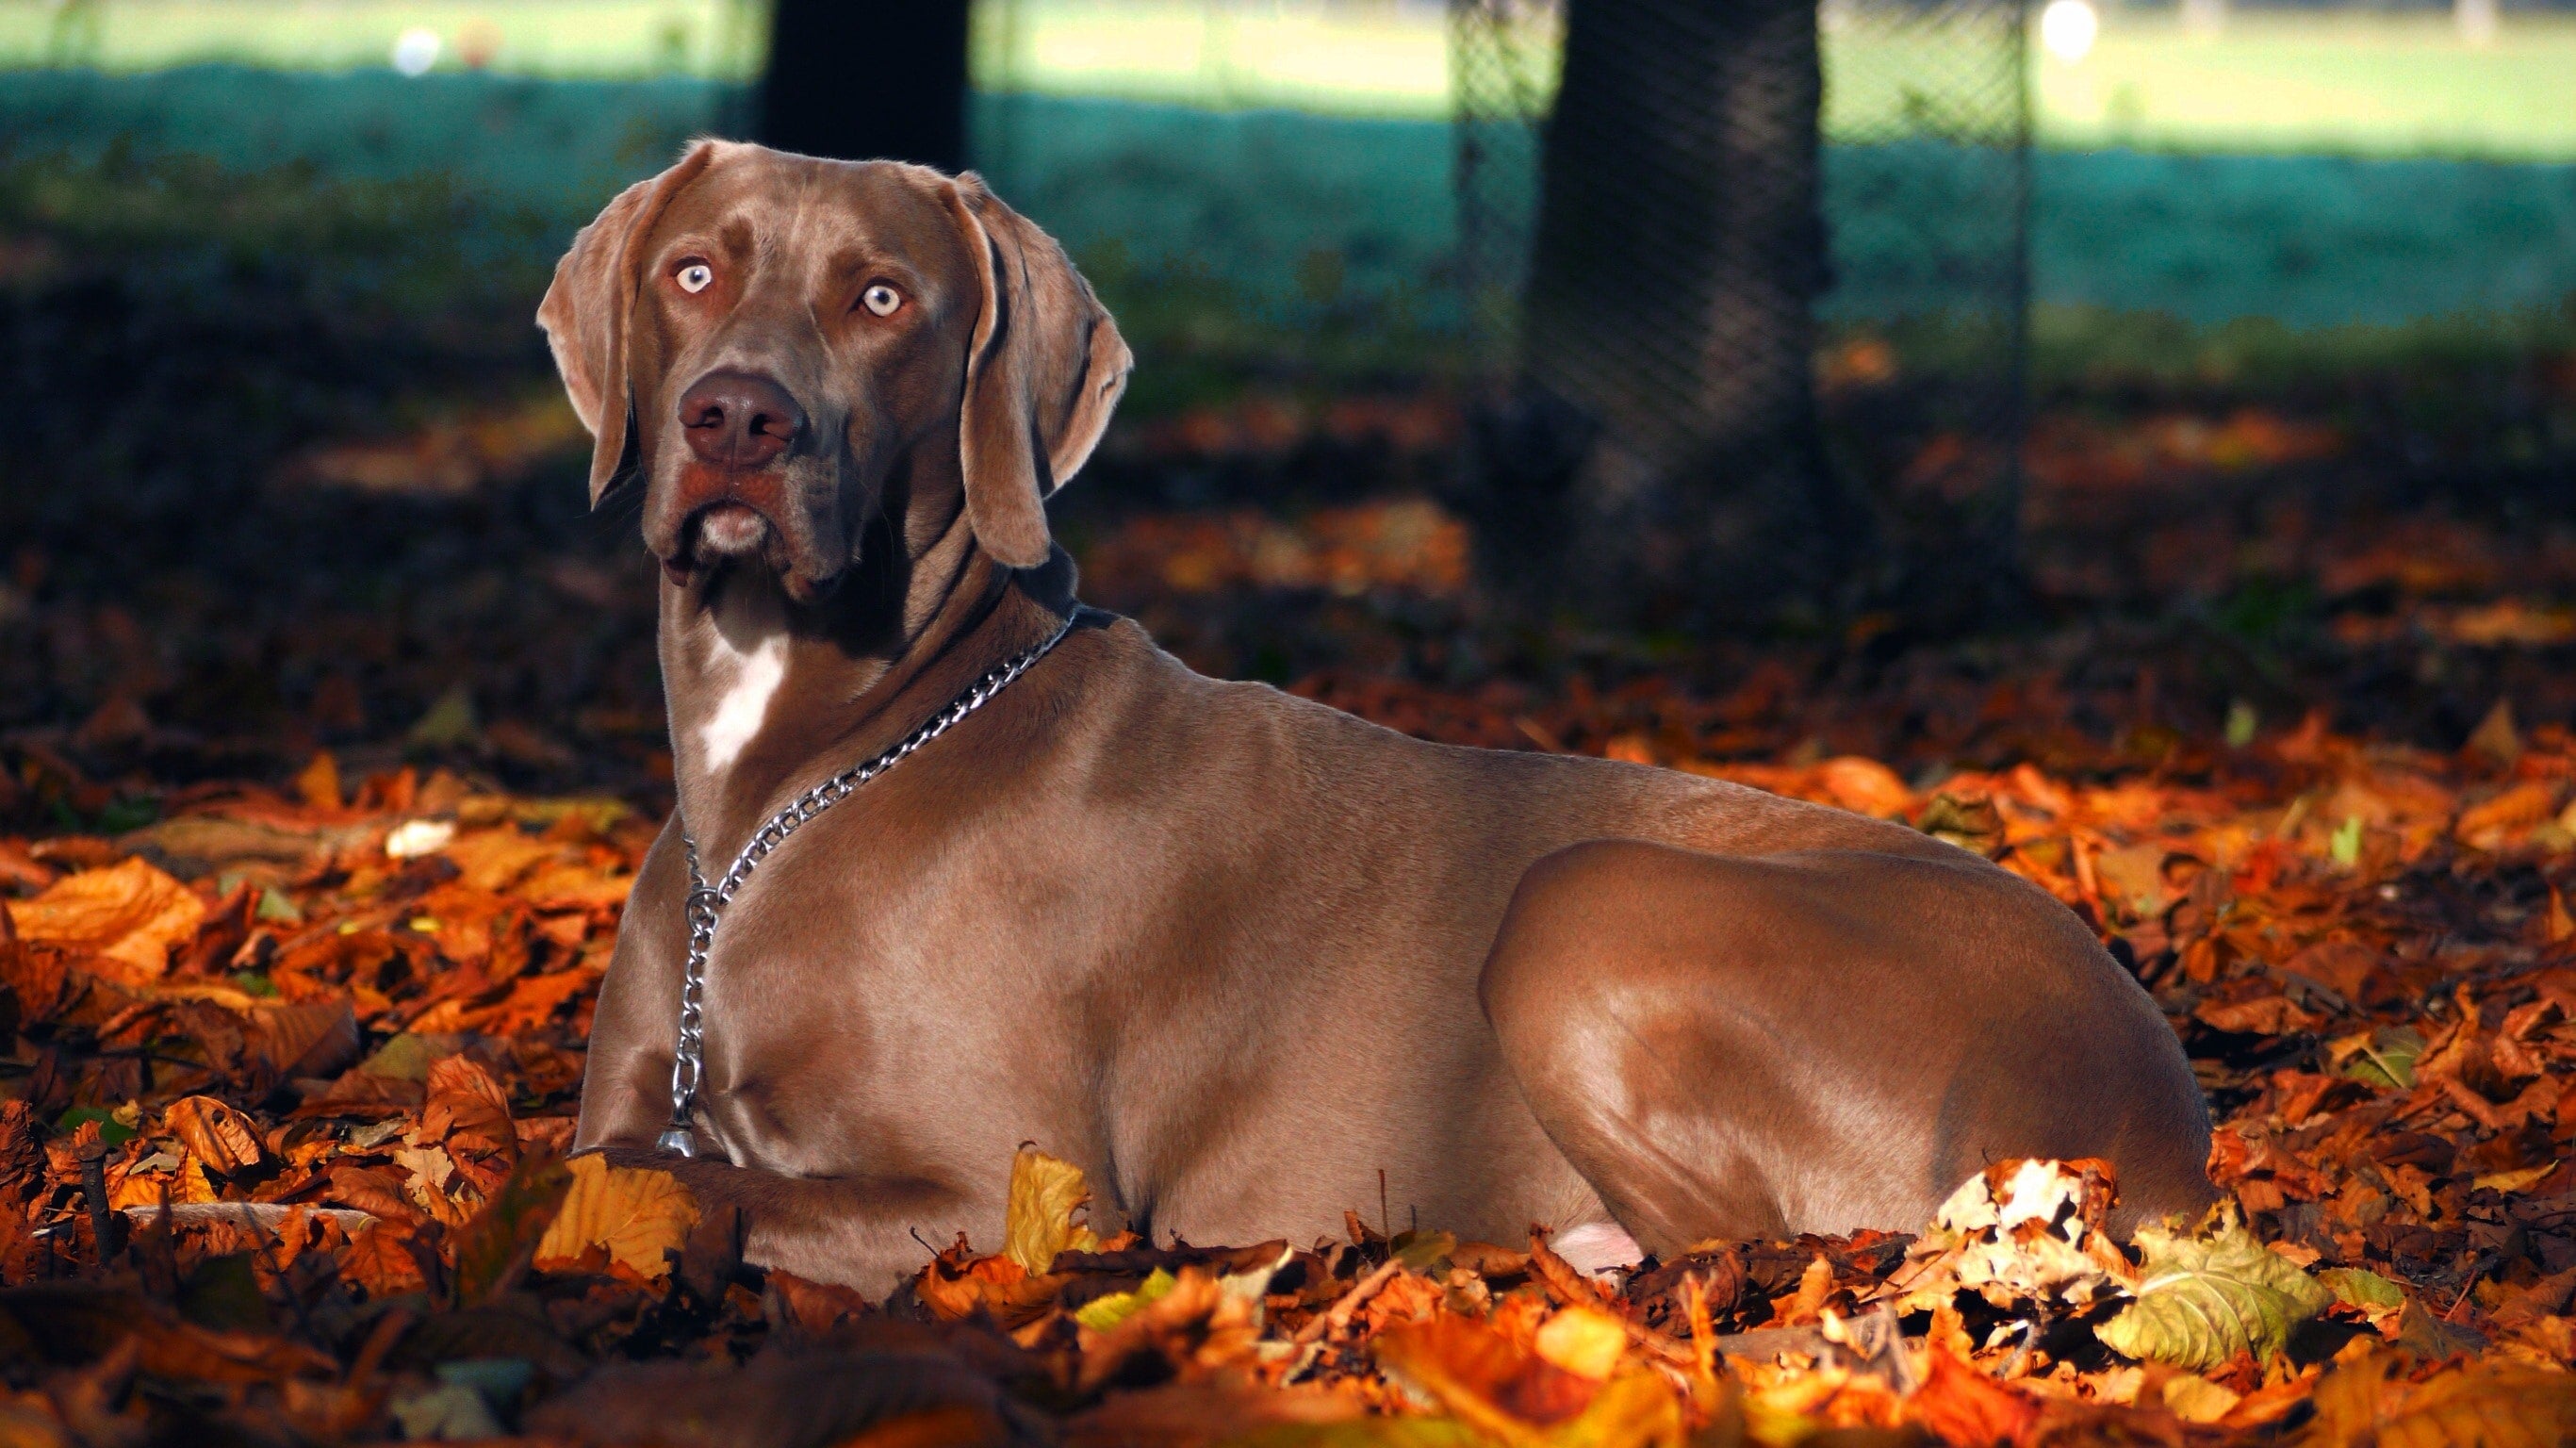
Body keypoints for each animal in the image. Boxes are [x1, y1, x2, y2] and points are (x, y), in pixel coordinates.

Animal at [549, 138, 2215, 1283]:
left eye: (884, 298)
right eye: (693, 271)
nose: (737, 418)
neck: (797, 780)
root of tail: (2168, 1130)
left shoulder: (1005, 1194)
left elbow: (666, 1183)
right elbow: (618, 1161)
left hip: (1586, 903)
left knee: (1748, 1247)